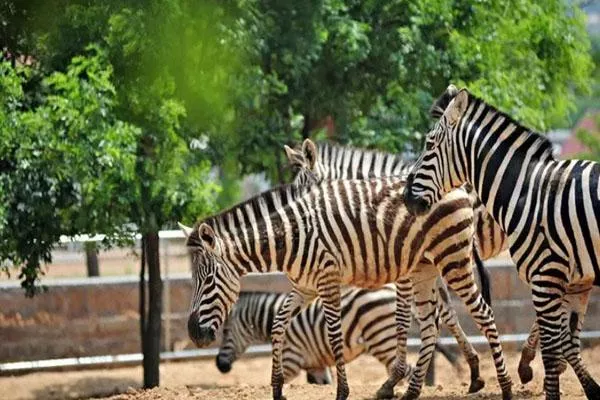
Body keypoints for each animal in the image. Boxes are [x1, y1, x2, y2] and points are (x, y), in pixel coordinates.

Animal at [214, 284, 468, 382]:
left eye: (225, 331)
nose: (220, 366)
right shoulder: (316, 367)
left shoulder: (291, 361)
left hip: (382, 341)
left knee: (405, 369)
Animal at [284, 138, 564, 384]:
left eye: (306, 195)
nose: (294, 233)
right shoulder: (429, 263)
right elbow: (446, 313)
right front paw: (472, 368)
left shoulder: (410, 267)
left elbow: (403, 317)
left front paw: (396, 377)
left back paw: (533, 360)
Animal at [404, 85, 600, 400]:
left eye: (430, 144)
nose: (407, 198)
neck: (527, 191)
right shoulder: (576, 280)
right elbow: (568, 343)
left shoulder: (545, 277)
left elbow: (553, 351)